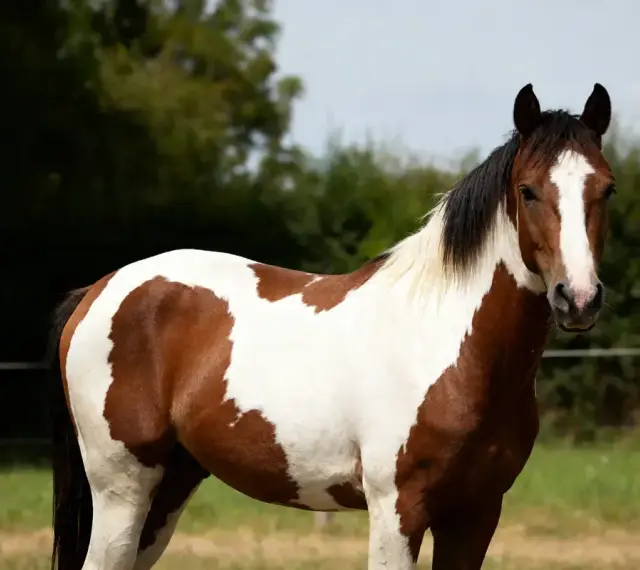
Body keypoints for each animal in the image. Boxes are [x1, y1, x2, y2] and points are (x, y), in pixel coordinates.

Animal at [49, 82, 615, 570]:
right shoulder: (397, 511)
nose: (578, 298)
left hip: (168, 487)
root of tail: (97, 290)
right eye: (528, 191)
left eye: (607, 190)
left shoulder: (476, 515)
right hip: (123, 487)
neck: (449, 349)